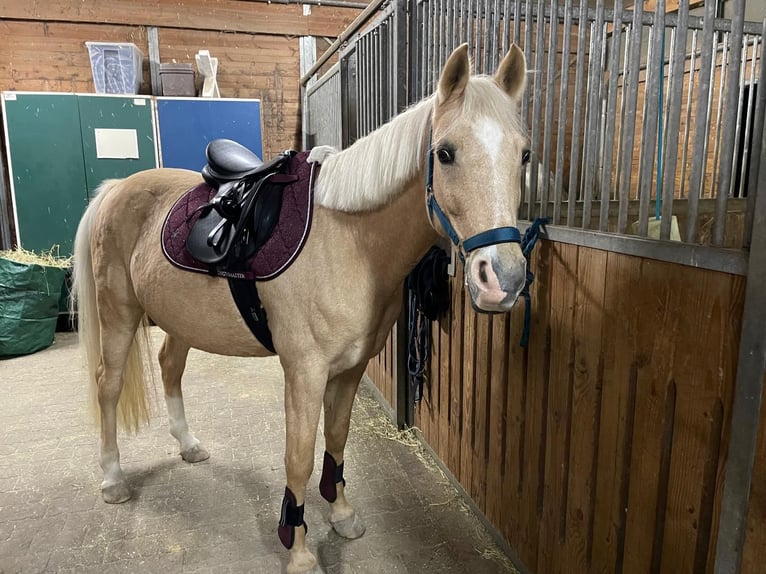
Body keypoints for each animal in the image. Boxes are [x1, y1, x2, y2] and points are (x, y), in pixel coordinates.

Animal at [72, 42, 532, 572]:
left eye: (524, 153)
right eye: (445, 153)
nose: (503, 279)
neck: (350, 242)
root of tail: (116, 189)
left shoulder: (350, 370)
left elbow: (337, 438)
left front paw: (342, 513)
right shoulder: (304, 374)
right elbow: (300, 457)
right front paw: (297, 548)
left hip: (180, 320)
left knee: (170, 367)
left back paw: (188, 446)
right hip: (118, 314)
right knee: (107, 386)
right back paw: (112, 479)